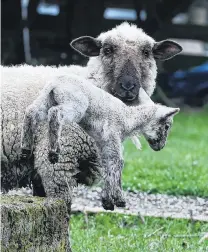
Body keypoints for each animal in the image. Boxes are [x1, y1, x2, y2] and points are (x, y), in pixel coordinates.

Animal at [21, 74, 180, 210]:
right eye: (167, 126)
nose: (160, 147)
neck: (128, 118)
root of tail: (55, 83)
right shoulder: (112, 137)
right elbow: (118, 164)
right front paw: (118, 200)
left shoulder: (103, 143)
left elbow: (108, 167)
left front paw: (107, 201)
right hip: (75, 104)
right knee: (55, 113)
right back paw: (54, 152)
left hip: (46, 99)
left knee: (31, 112)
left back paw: (25, 149)